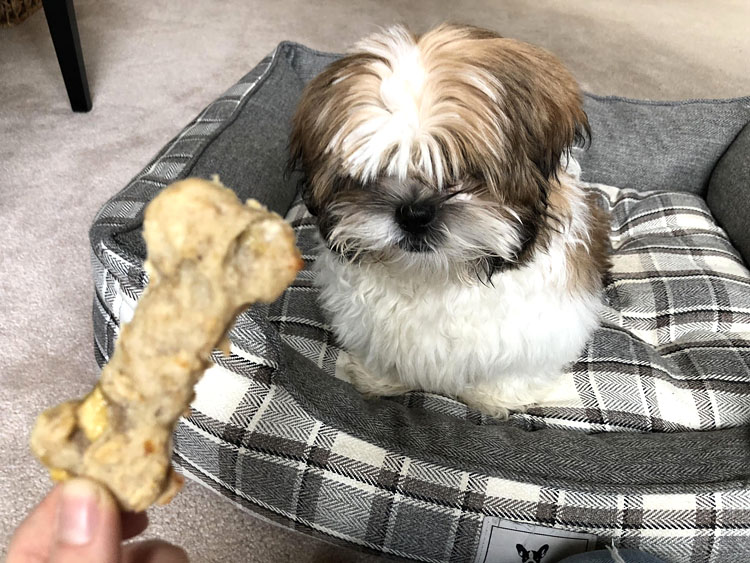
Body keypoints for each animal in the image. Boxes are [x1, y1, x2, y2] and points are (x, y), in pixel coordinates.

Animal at [288, 23, 612, 418]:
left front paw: (497, 397)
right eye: (371, 174)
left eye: (463, 171)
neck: (435, 276)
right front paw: (377, 379)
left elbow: (513, 369)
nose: (414, 214)